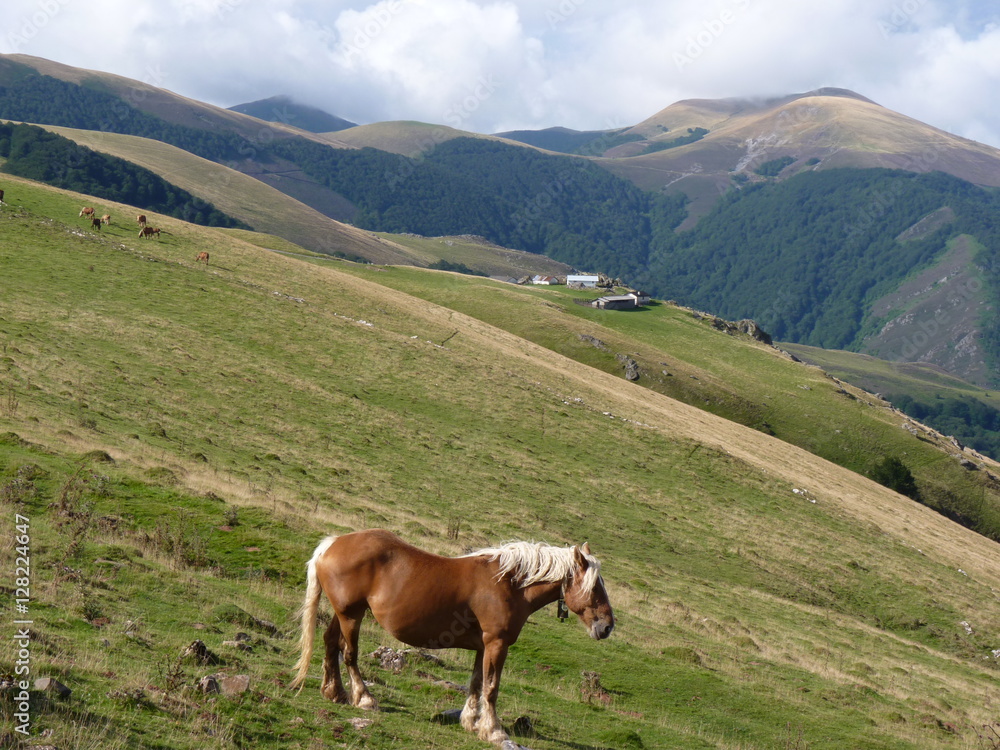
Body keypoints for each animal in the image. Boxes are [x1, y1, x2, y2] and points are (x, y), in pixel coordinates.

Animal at [292, 528, 612, 748]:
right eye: (595, 587)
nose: (608, 626)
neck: (509, 584)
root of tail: (333, 543)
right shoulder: (497, 643)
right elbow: (491, 688)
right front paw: (493, 731)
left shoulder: (483, 646)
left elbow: (476, 683)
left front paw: (470, 722)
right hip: (351, 615)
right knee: (349, 654)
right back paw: (364, 698)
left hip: (343, 613)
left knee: (330, 643)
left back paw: (335, 692)